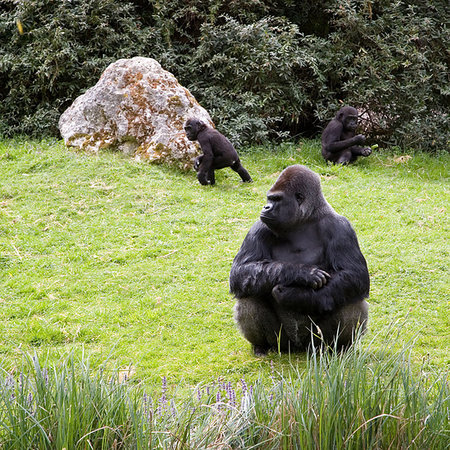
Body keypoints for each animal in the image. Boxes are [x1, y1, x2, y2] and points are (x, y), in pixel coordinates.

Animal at [229, 165, 370, 356]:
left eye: (277, 199)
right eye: (269, 198)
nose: (266, 207)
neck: (304, 219)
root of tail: (298, 347)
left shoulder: (341, 227)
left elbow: (354, 275)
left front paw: (294, 296)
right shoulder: (259, 227)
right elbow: (241, 271)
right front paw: (301, 273)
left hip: (316, 342)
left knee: (351, 296)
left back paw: (341, 347)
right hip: (282, 342)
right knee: (248, 293)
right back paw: (261, 346)